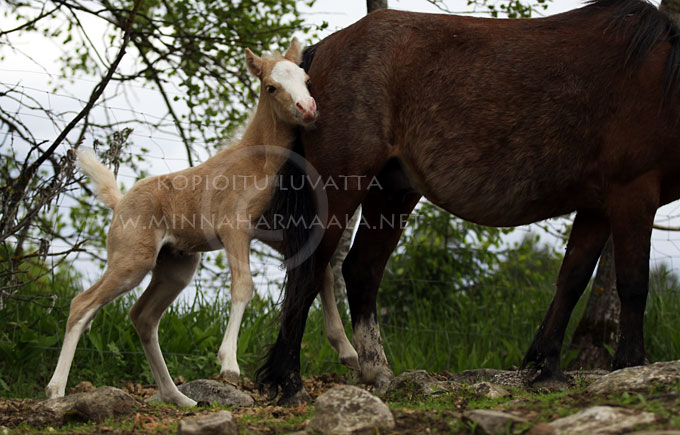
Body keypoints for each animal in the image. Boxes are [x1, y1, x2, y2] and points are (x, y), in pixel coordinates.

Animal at [45, 38, 358, 408]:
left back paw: (178, 397)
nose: (307, 109)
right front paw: (229, 364)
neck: (258, 160)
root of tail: (119, 202)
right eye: (271, 87)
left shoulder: (273, 235)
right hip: (132, 259)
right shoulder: (233, 228)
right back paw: (55, 390)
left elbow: (322, 274)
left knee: (143, 317)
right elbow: (244, 285)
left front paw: (347, 350)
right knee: (82, 305)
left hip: (176, 266)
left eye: (306, 80)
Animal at [258, 0, 680, 406]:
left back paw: (377, 372)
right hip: (342, 187)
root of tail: (319, 56)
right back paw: (289, 381)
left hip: (392, 191)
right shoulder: (633, 194)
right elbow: (633, 283)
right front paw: (631, 364)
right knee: (309, 270)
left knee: (362, 269)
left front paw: (546, 366)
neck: (662, 79)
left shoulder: (597, 207)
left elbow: (571, 281)